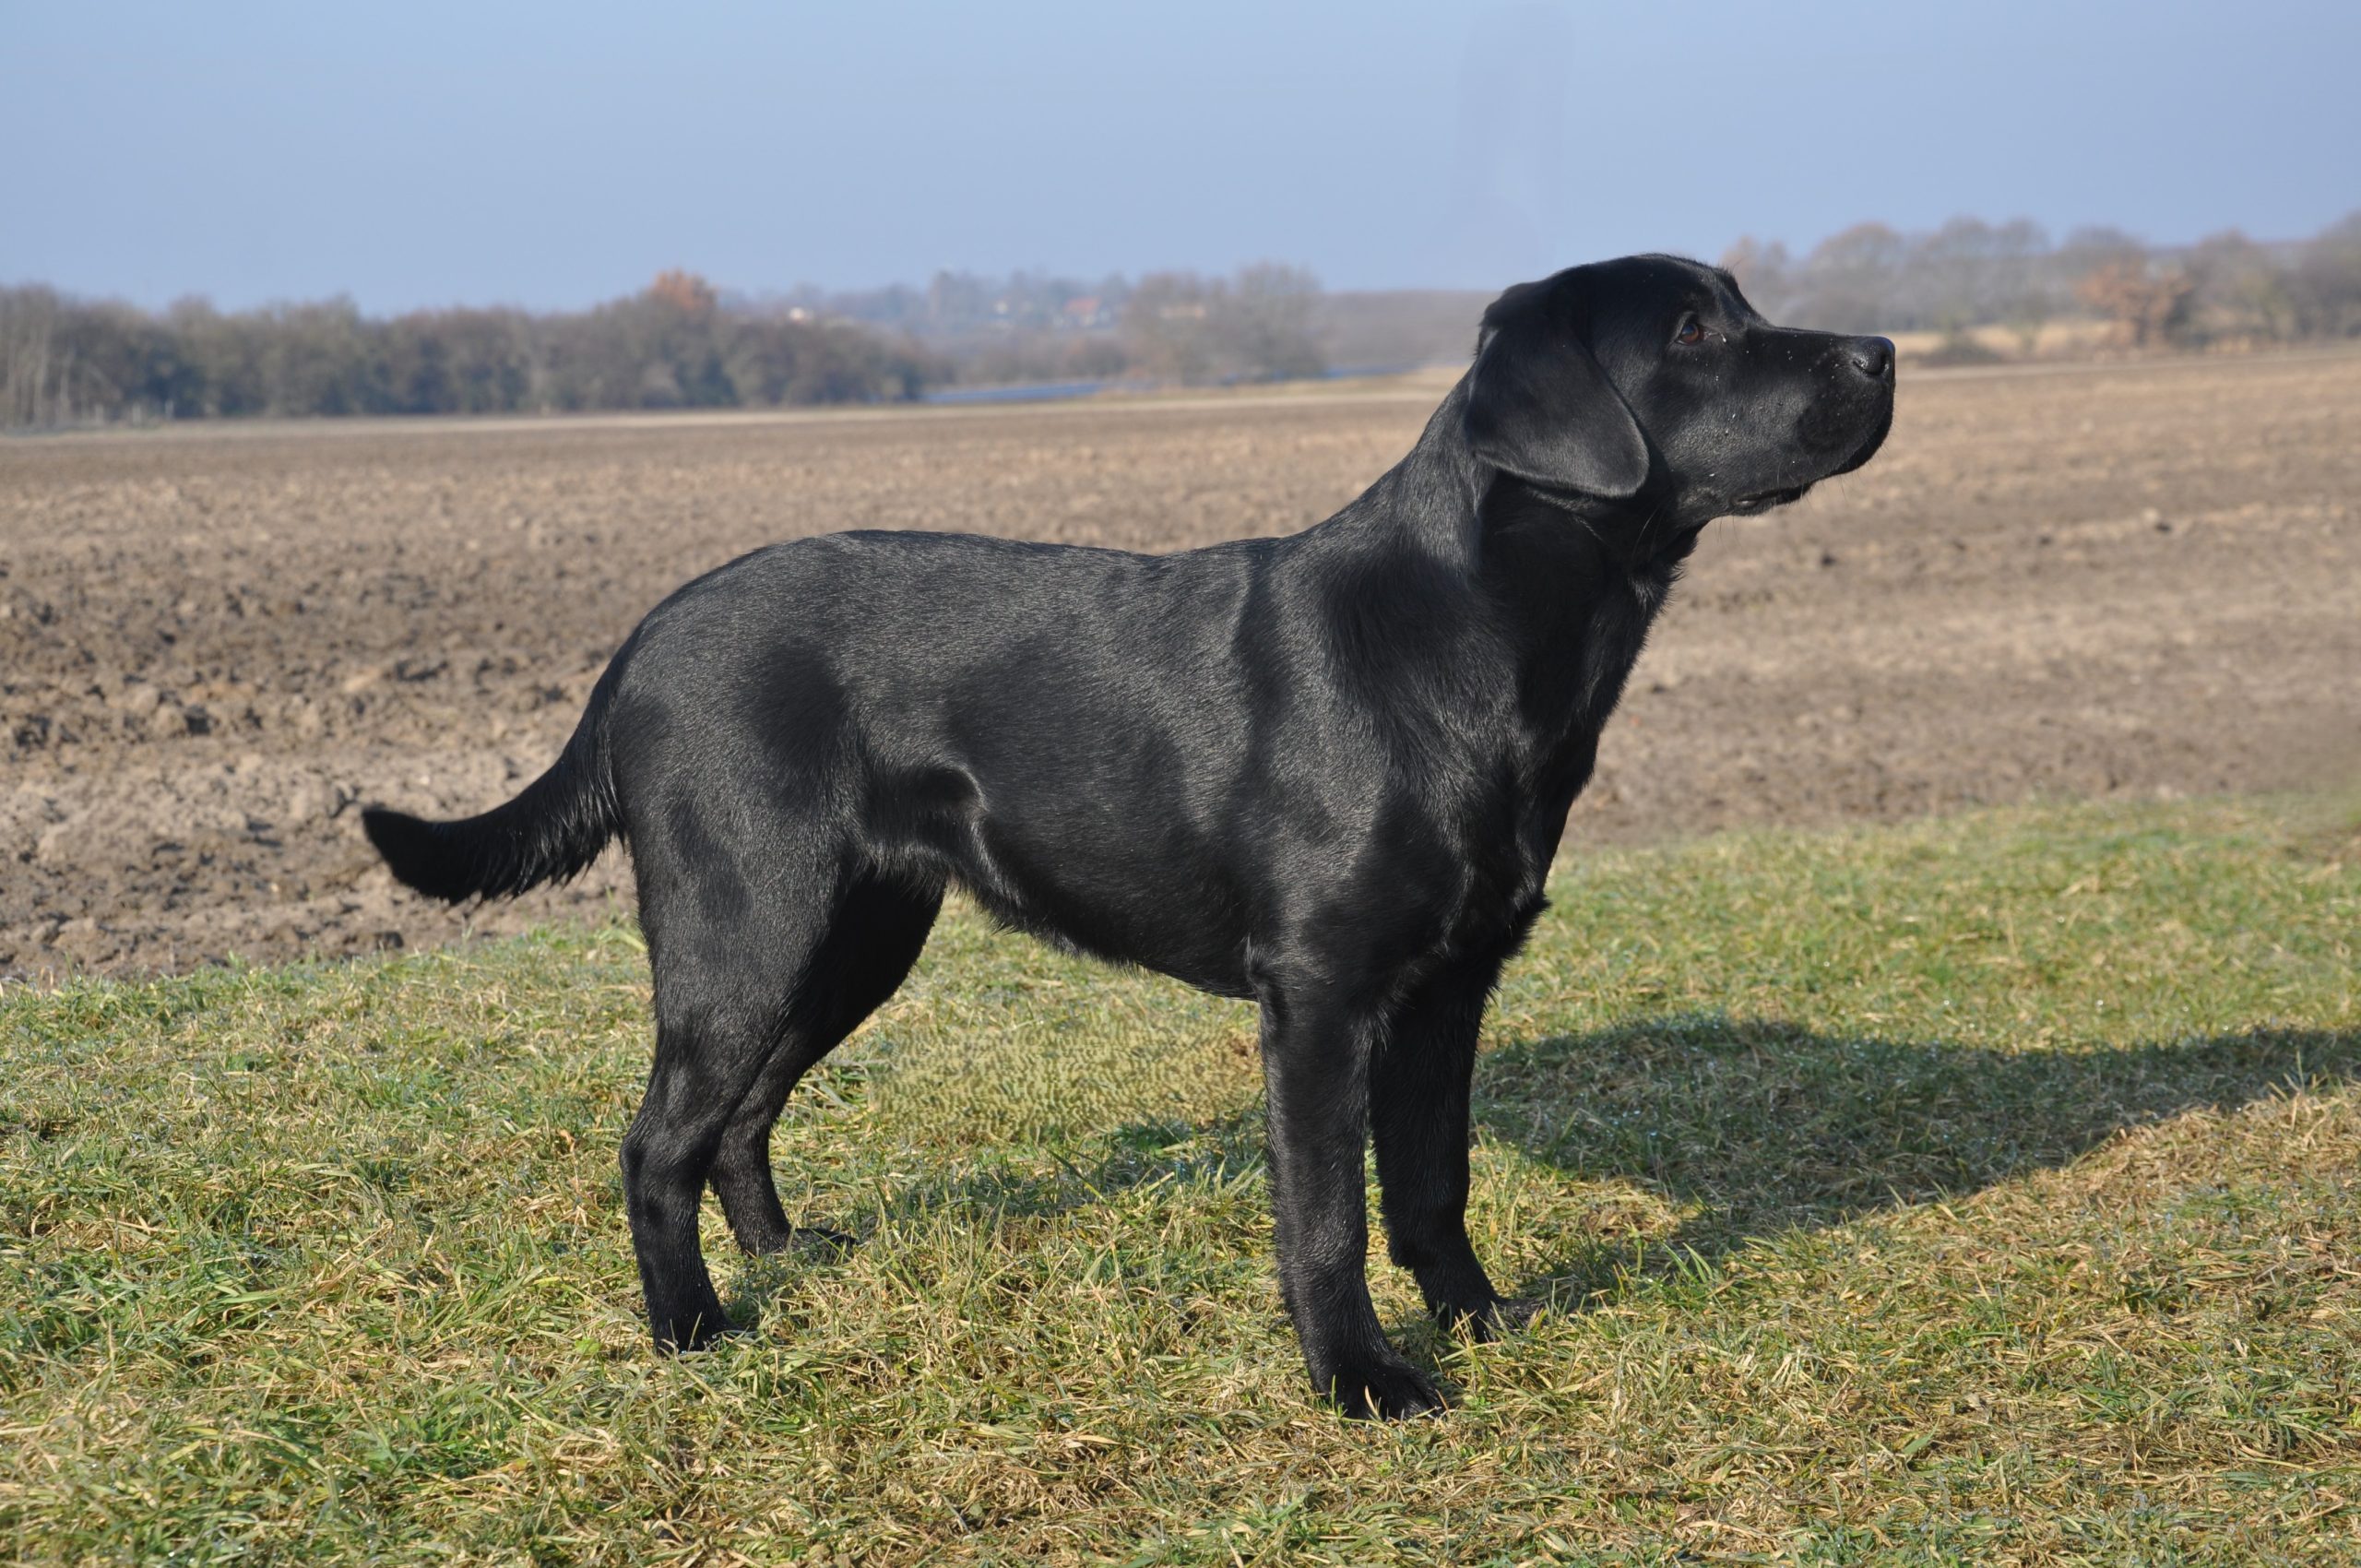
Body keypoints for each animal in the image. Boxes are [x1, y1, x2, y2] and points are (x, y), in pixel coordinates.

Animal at [363, 254, 1879, 1417]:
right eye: (1692, 331)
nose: (1878, 353)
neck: (1469, 635)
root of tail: (641, 638)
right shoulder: (1318, 996)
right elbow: (1326, 1219)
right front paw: (1361, 1383)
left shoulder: (1453, 981)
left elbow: (1432, 1183)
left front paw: (1481, 1323)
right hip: (749, 927)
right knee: (656, 1142)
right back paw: (690, 1331)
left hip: (852, 938)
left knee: (738, 1120)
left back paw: (787, 1259)